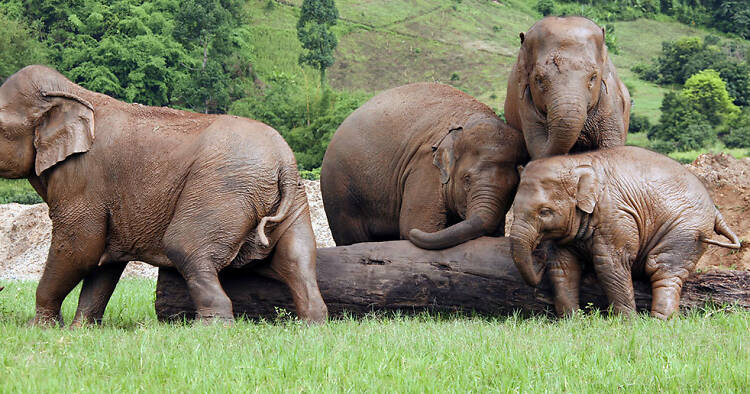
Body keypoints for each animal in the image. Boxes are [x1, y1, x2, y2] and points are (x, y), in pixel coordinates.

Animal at [0, 65, 328, 326]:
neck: (71, 92)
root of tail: (284, 161)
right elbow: (104, 260)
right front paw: (80, 330)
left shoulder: (82, 178)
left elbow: (80, 246)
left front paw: (41, 329)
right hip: (293, 201)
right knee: (297, 257)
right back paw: (312, 325)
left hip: (222, 190)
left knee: (184, 246)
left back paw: (208, 328)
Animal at [322, 82, 528, 249]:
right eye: (466, 179)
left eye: (513, 188)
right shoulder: (425, 168)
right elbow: (418, 225)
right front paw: (413, 231)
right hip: (340, 190)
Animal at [508, 146, 744, 318]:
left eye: (545, 212)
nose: (538, 260)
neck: (578, 163)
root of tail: (715, 210)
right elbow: (564, 266)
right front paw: (572, 321)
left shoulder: (616, 215)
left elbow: (610, 263)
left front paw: (627, 323)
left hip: (687, 230)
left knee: (663, 268)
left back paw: (660, 321)